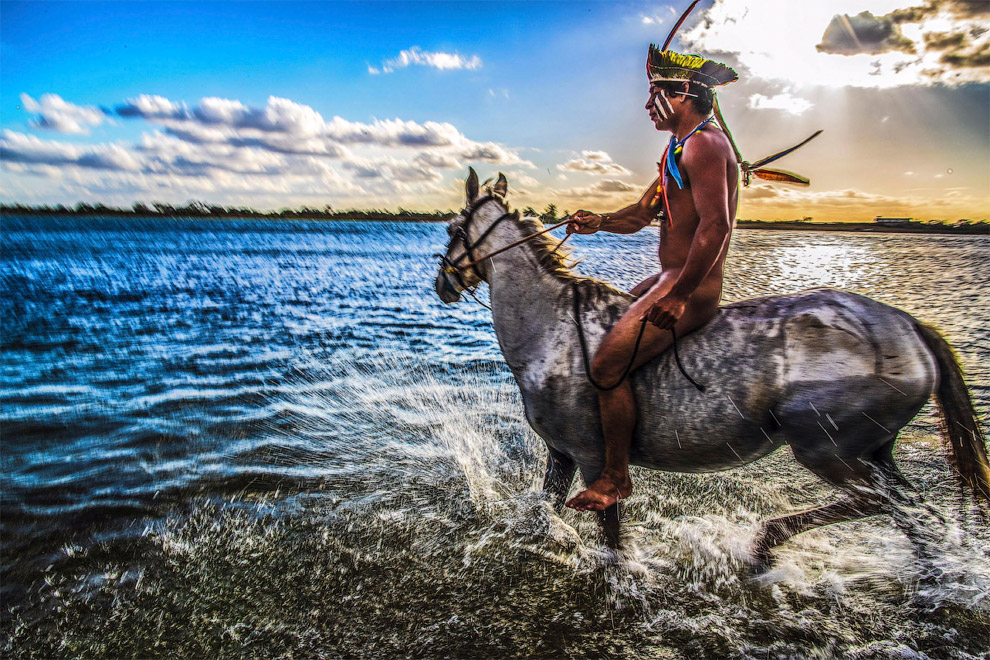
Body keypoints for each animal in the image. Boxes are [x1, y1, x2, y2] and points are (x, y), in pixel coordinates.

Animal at [434, 168, 990, 564]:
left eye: (452, 228)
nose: (441, 285)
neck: (552, 329)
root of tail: (909, 325)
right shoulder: (561, 454)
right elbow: (540, 511)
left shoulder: (593, 459)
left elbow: (611, 536)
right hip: (875, 450)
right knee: (911, 507)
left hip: (828, 449)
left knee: (888, 503)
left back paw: (769, 539)